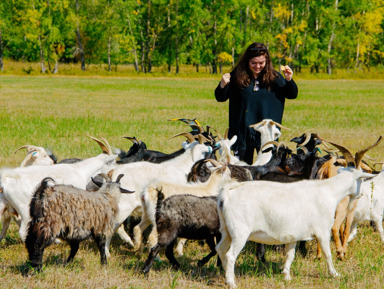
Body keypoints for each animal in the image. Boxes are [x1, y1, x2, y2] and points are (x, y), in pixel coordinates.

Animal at [214, 137, 380, 286]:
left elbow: (290, 255)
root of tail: (227, 194)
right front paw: (335, 273)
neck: (328, 190)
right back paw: (231, 282)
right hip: (240, 233)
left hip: (226, 231)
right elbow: (327, 254)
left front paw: (286, 275)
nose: (360, 195)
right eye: (361, 178)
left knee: (220, 249)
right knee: (230, 255)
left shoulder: (293, 234)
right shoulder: (322, 231)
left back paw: (225, 275)